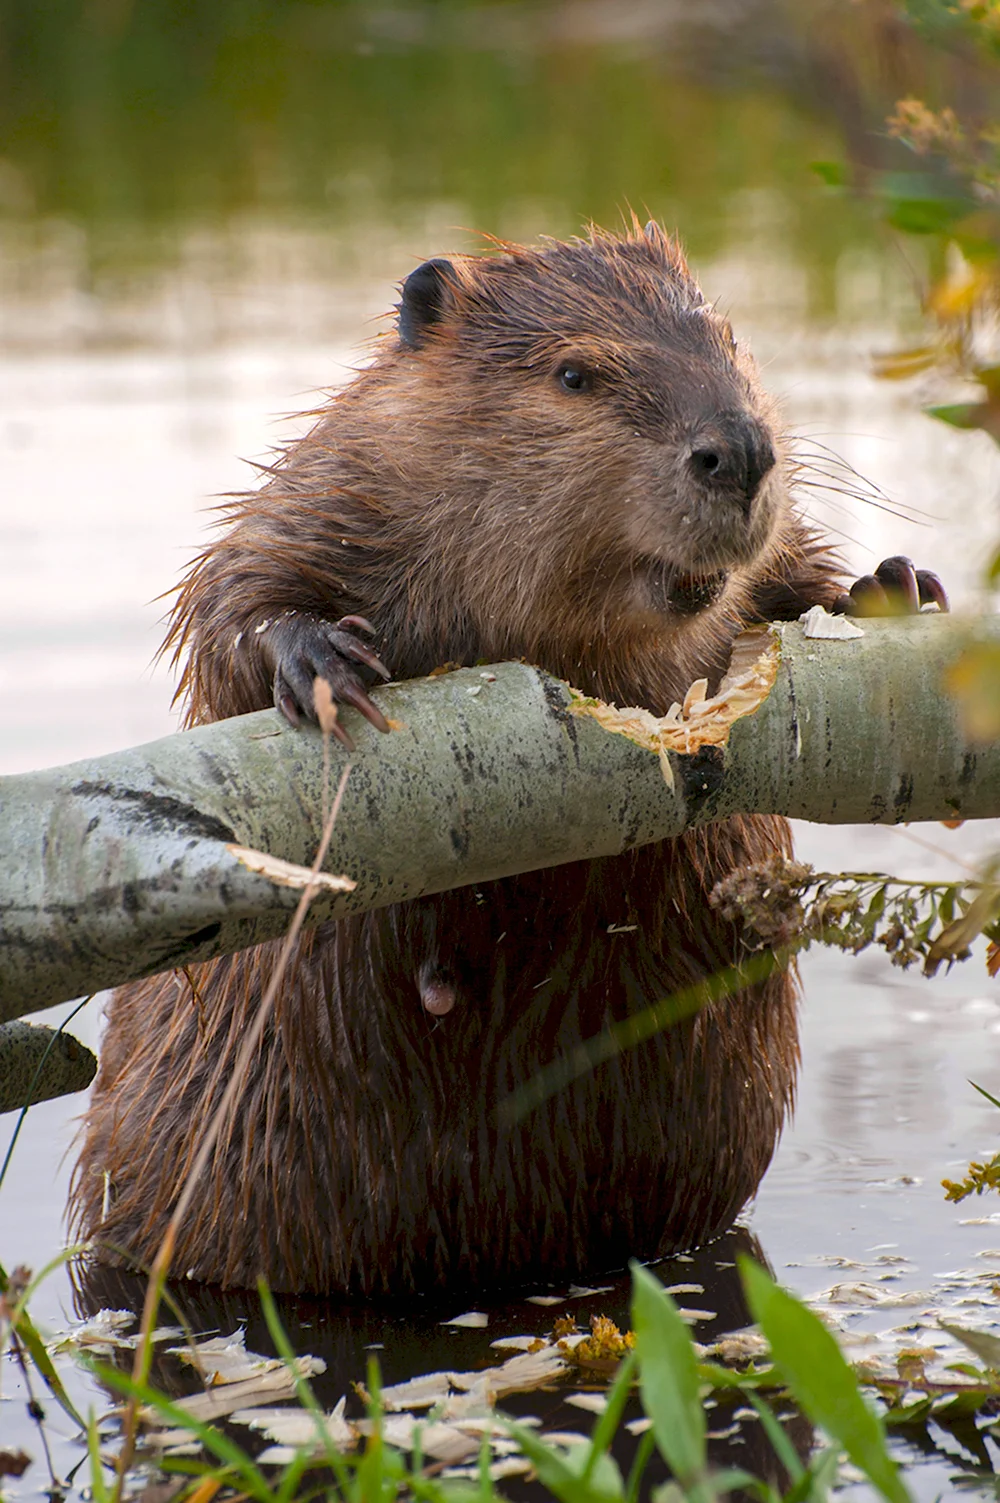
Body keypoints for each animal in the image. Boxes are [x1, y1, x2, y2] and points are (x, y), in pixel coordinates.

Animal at [72, 219, 944, 1292]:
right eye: (575, 373)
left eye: (731, 336)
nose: (739, 450)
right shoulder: (340, 480)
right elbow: (233, 594)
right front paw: (321, 661)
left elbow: (788, 571)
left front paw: (893, 582)